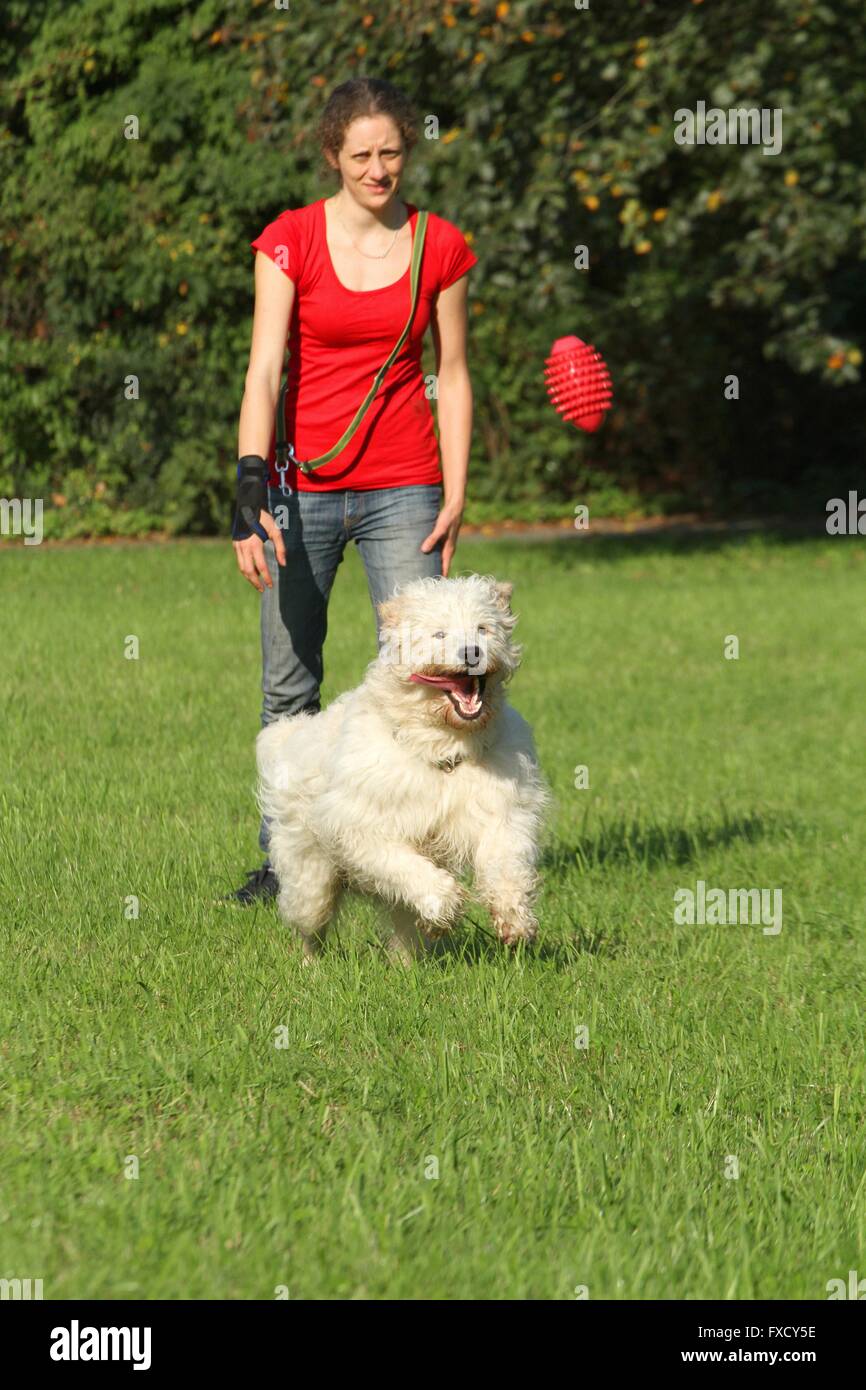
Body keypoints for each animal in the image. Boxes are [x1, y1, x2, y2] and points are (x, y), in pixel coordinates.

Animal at [255, 569, 547, 961]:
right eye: (439, 634)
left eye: (483, 628)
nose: (472, 652)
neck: (443, 748)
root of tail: (291, 736)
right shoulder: (363, 825)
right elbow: (402, 864)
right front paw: (445, 902)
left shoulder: (502, 810)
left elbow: (505, 860)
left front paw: (513, 917)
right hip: (310, 879)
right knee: (310, 925)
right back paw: (310, 964)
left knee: (403, 926)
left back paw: (407, 961)